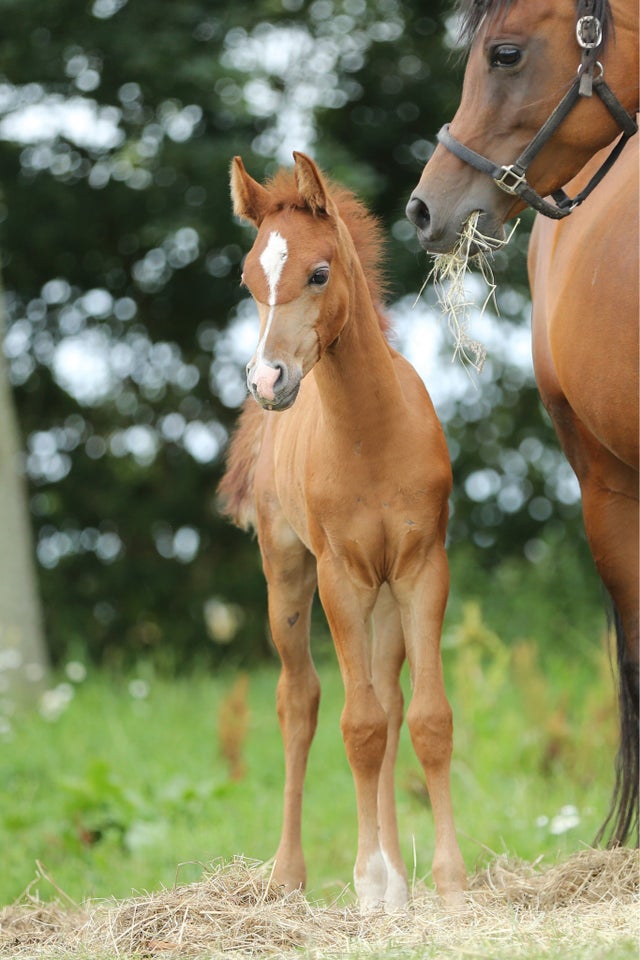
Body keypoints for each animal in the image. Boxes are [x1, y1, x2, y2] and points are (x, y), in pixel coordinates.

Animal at [219, 152, 464, 908]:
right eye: (249, 280)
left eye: (319, 272)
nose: (267, 379)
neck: (372, 436)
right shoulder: (340, 577)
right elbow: (357, 727)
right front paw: (369, 882)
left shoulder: (421, 568)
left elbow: (425, 719)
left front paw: (447, 882)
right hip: (289, 576)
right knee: (300, 703)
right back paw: (290, 877)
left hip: (384, 600)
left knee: (387, 698)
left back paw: (398, 885)